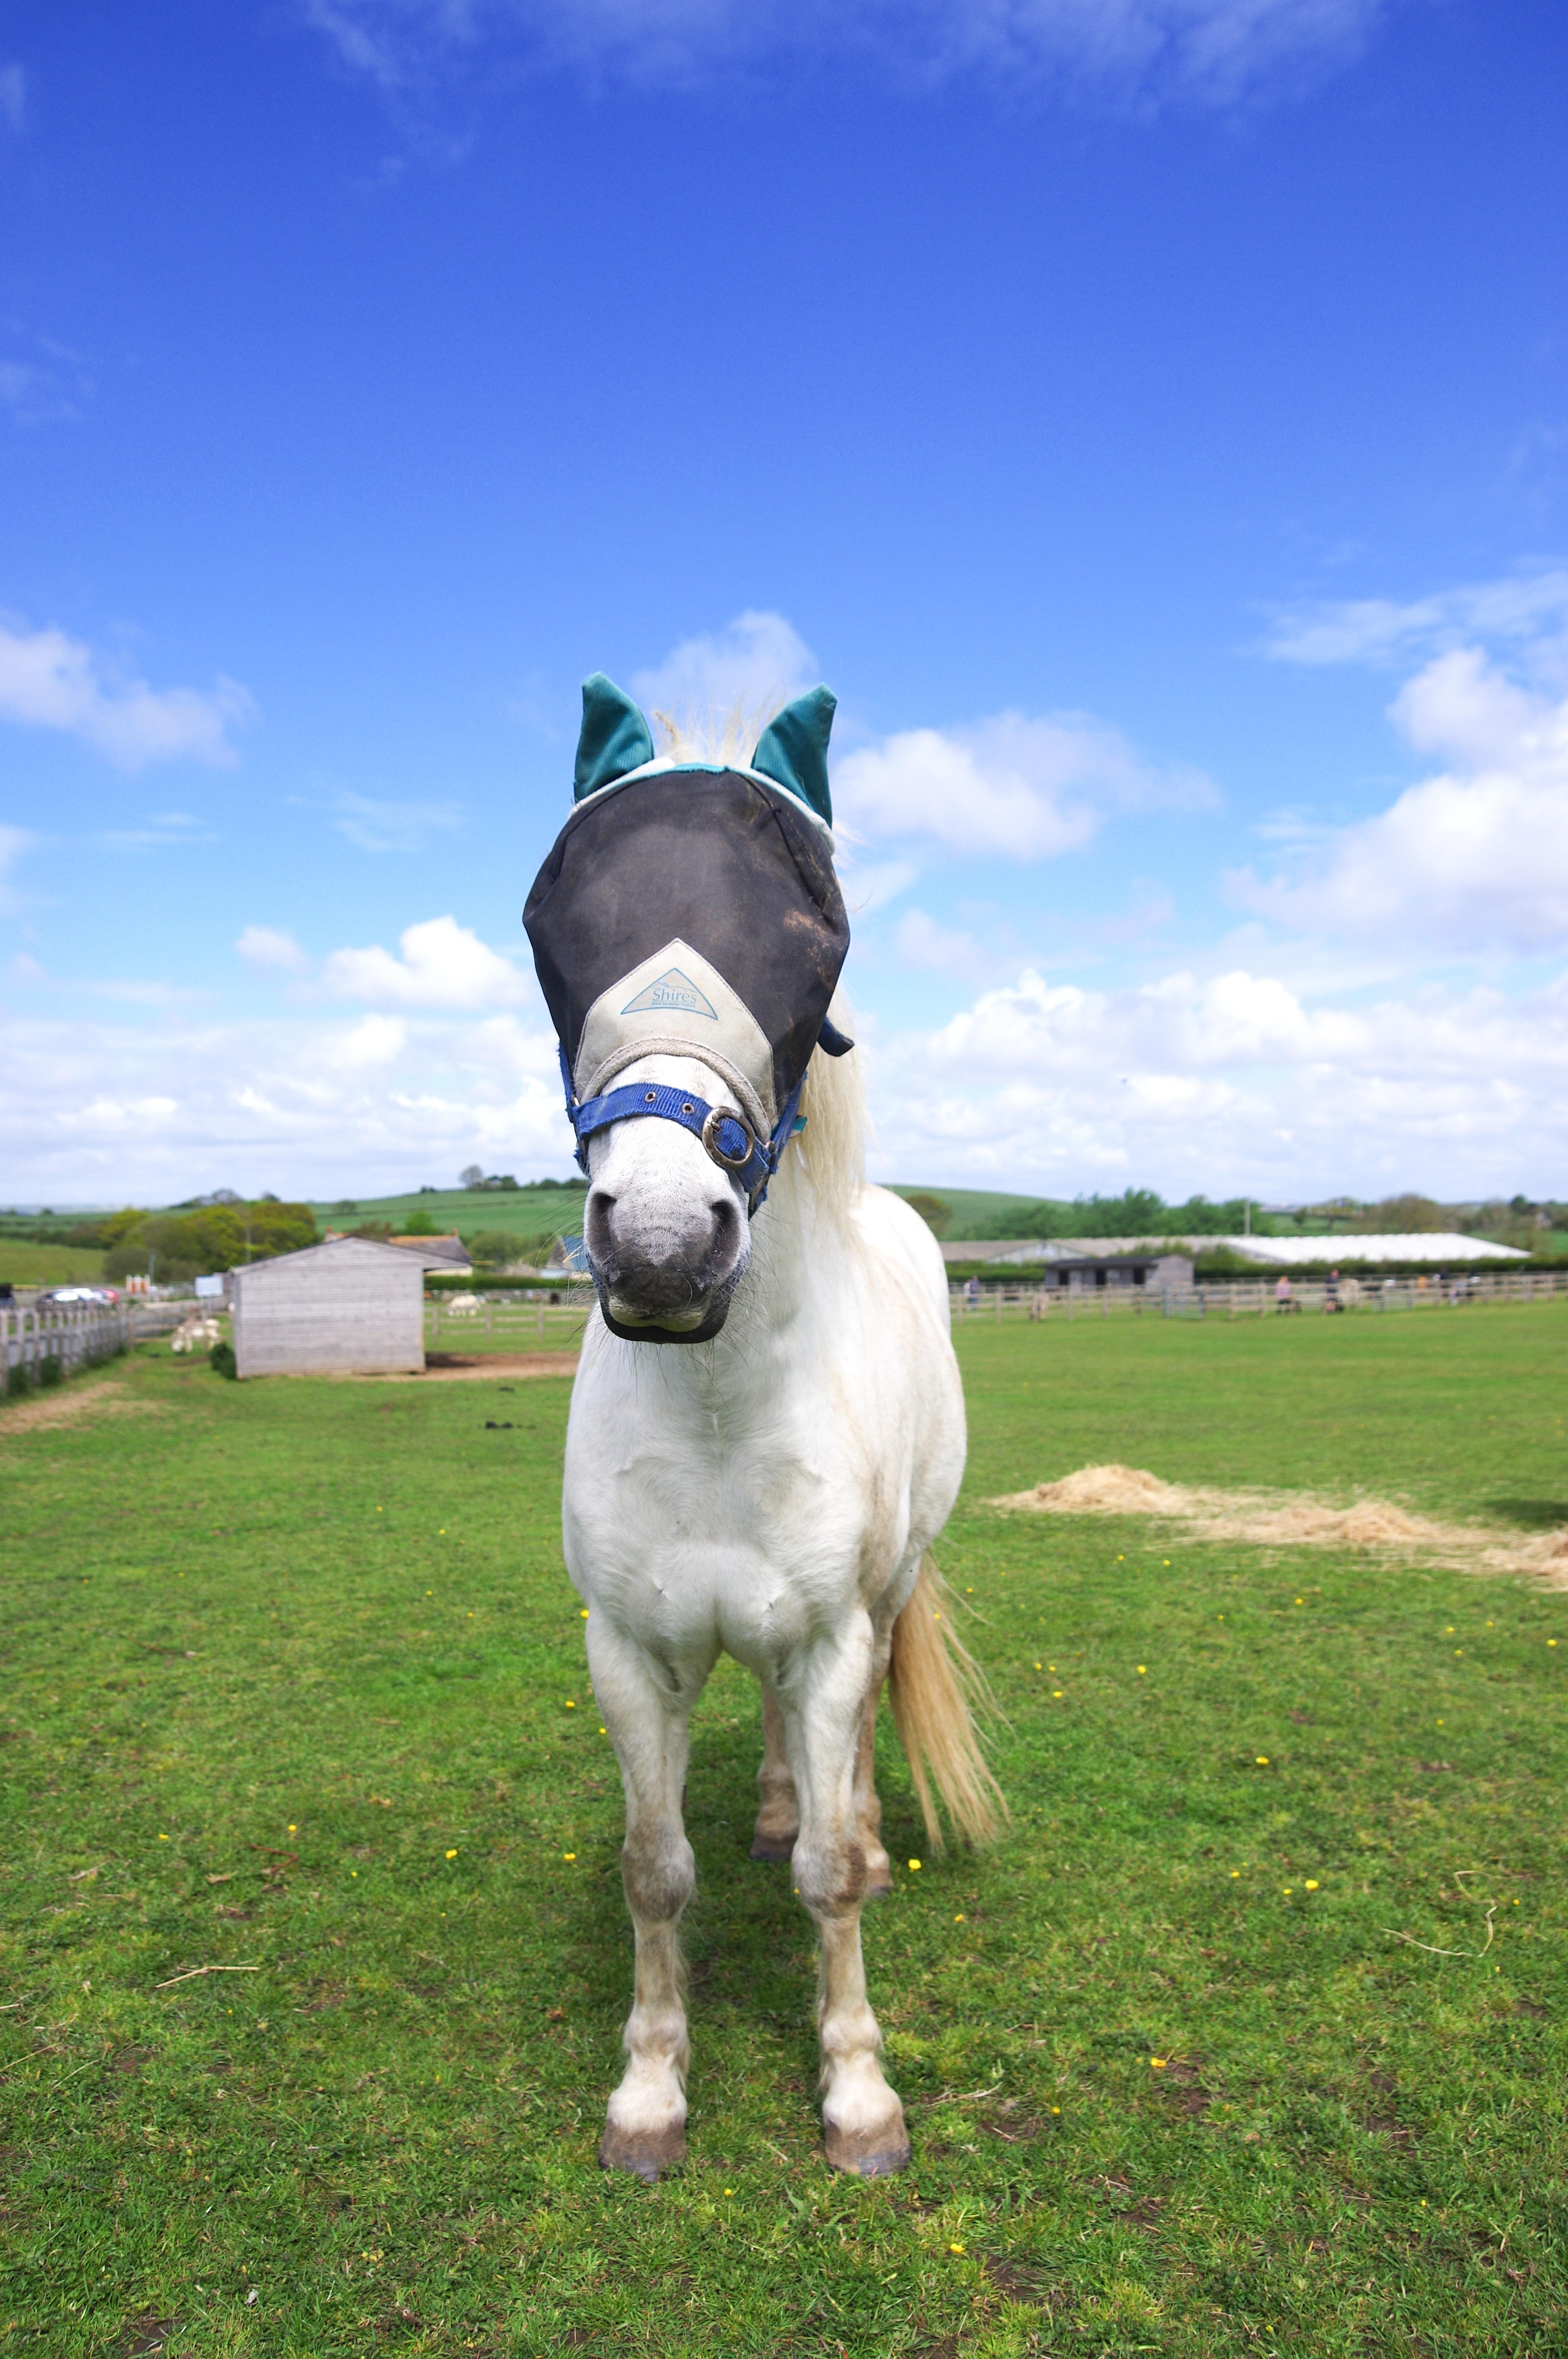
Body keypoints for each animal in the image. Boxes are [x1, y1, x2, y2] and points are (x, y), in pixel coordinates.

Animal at [538, 687, 1005, 2183]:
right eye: (554, 919)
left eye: (815, 934)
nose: (663, 1241)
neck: (718, 1412)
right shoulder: (630, 1653)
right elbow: (653, 1869)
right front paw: (649, 2091)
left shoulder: (836, 1637)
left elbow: (825, 1882)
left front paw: (857, 2091)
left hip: (887, 1594)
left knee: (844, 1772)